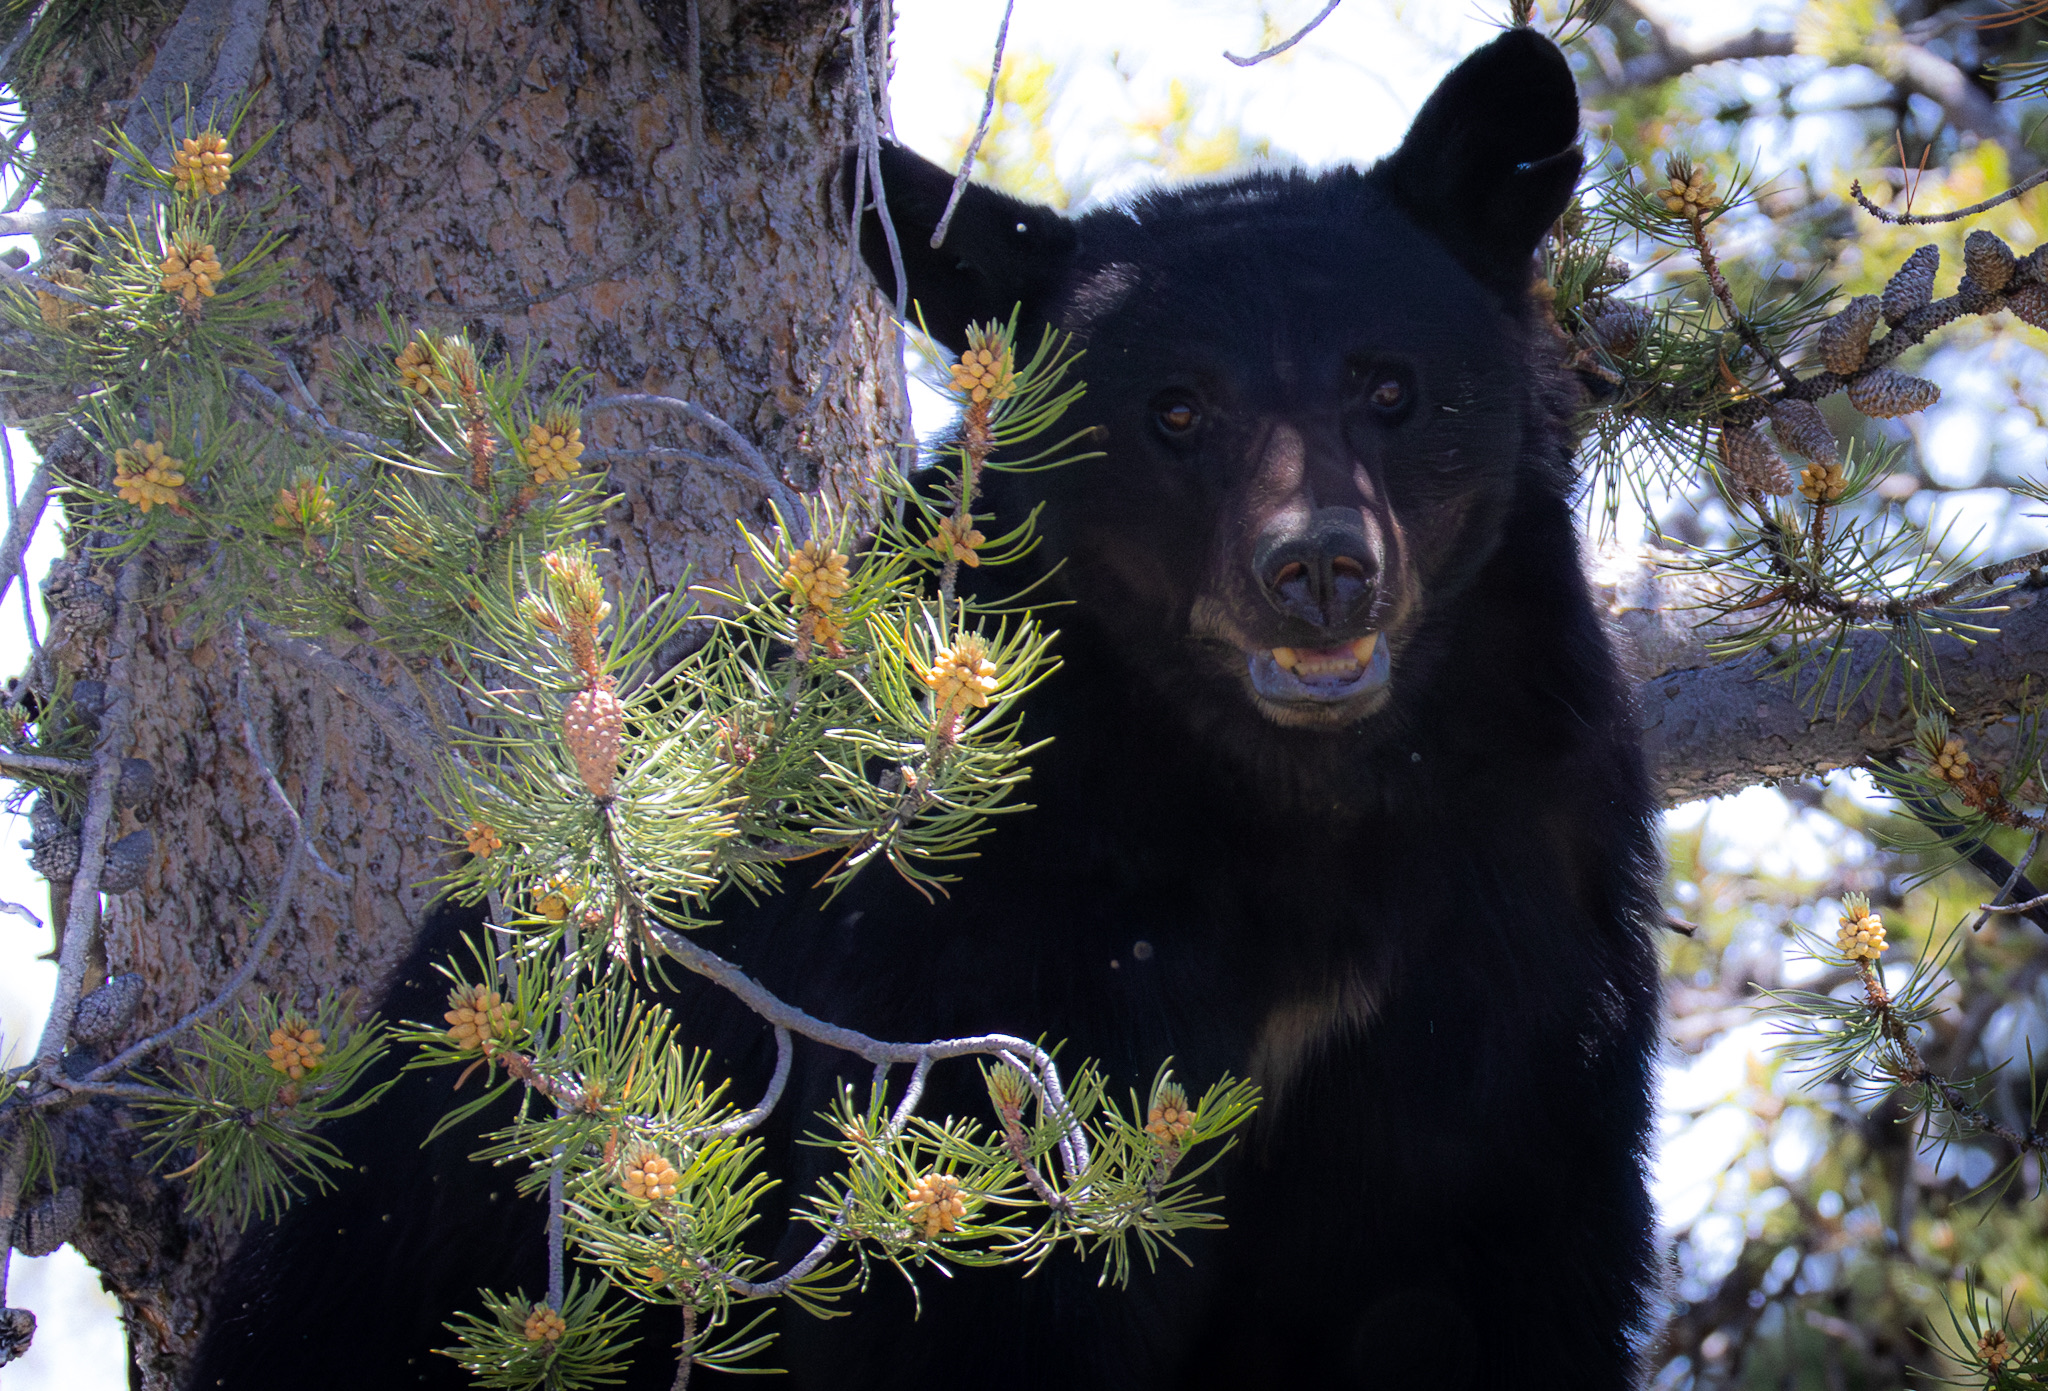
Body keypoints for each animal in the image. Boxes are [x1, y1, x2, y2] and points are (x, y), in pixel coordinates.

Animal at [188, 27, 1661, 1391]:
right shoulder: (982, 954)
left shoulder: (1517, 921)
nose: (1315, 570)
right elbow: (962, 1303)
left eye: (1389, 383)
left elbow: (1482, 1278)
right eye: (1175, 409)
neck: (1306, 813)